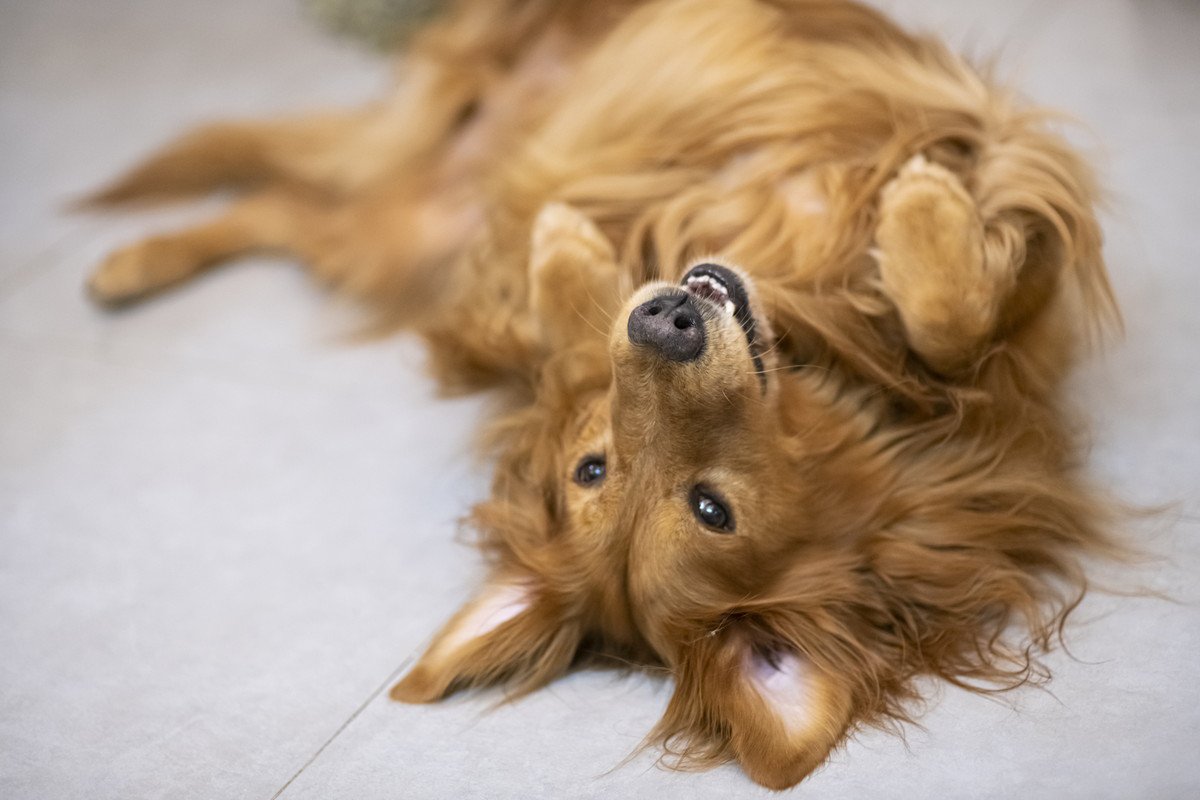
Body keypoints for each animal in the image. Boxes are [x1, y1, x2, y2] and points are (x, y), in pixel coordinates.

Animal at [82, 0, 1113, 786]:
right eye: (595, 469)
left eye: (709, 508)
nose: (667, 321)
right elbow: (567, 320)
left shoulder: (1019, 346)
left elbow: (957, 323)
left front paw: (918, 224)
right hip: (400, 206)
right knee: (277, 193)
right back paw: (130, 263)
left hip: (393, 227)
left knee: (282, 204)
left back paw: (130, 262)